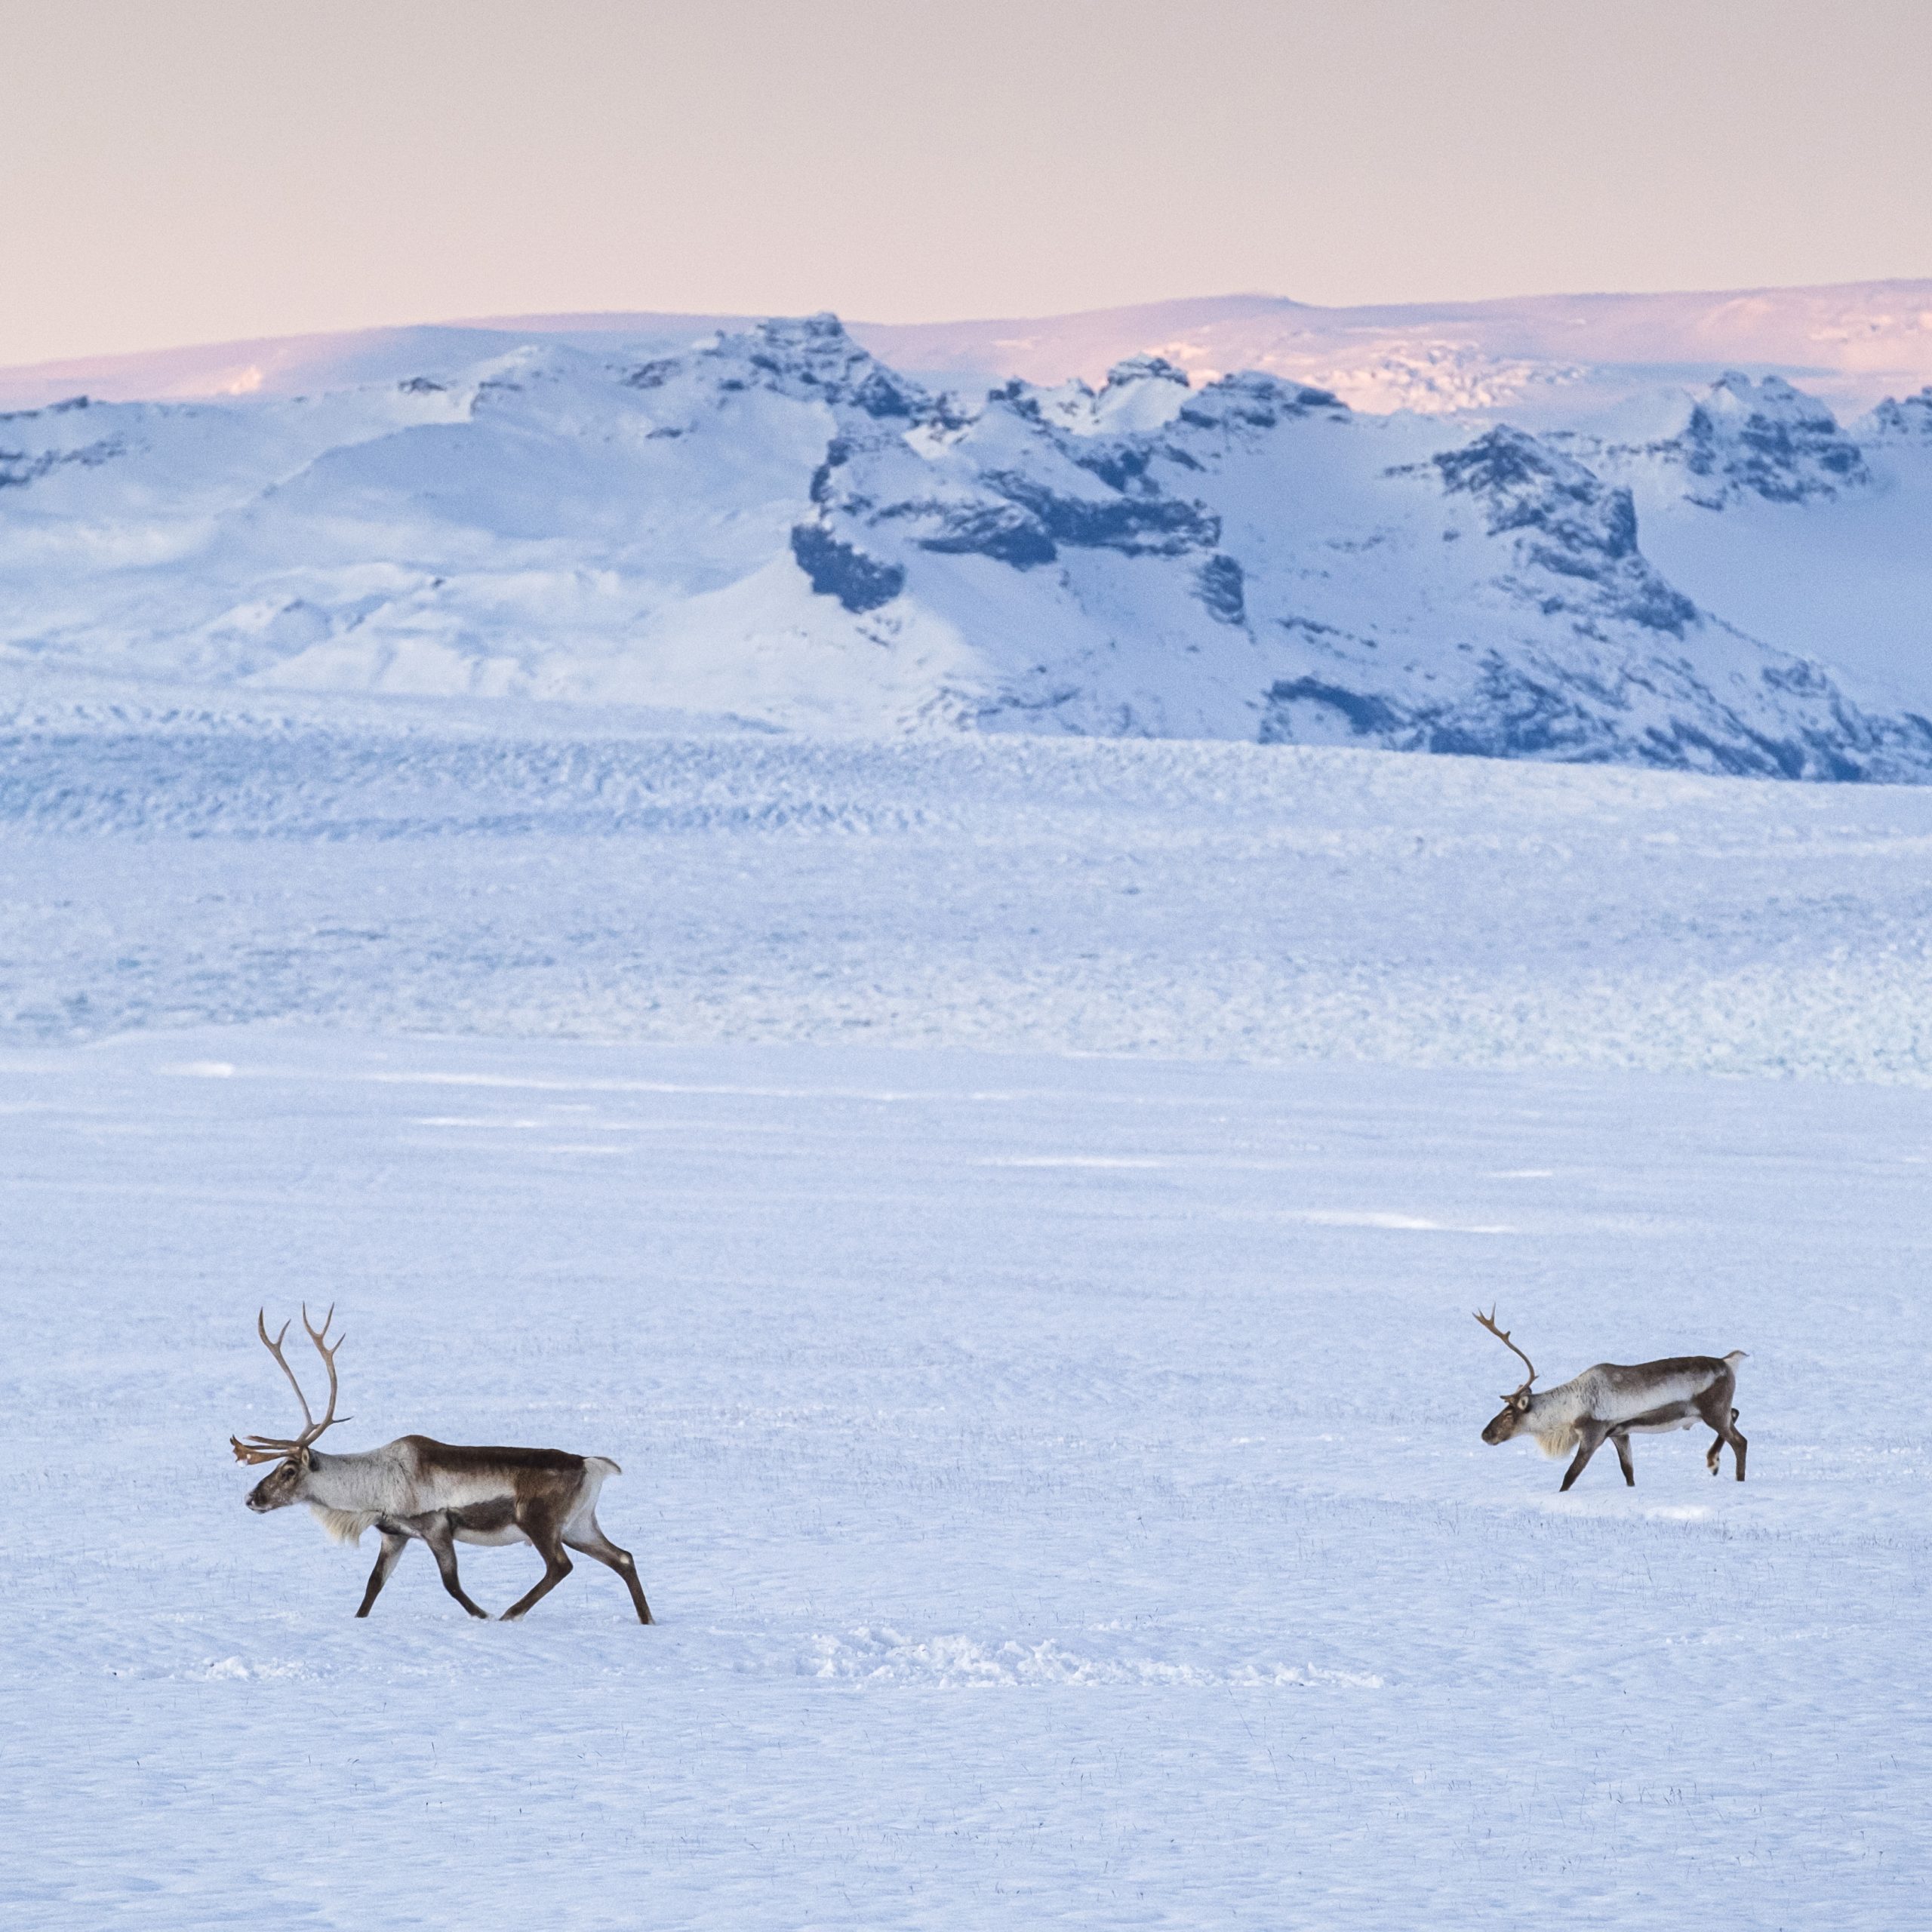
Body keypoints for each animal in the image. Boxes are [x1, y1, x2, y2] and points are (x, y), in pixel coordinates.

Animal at [231, 1306, 653, 1623]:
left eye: (288, 1471)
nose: (252, 1498)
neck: (370, 1490)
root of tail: (591, 1464)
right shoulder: (394, 1534)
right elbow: (372, 1586)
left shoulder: (436, 1527)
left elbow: (452, 1585)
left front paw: (483, 1616)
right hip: (579, 1525)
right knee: (623, 1557)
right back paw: (647, 1620)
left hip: (540, 1521)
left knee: (560, 1566)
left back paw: (510, 1613)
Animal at [1473, 1307, 1747, 1492]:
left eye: (1509, 1413)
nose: (1485, 1434)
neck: (1568, 1410)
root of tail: (1728, 1363)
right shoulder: (1620, 1434)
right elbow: (1629, 1473)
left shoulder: (1593, 1435)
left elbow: (1569, 1476)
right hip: (1716, 1411)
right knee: (1735, 1414)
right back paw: (1714, 1462)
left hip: (1713, 1411)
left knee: (1740, 1441)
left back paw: (1729, 1473)